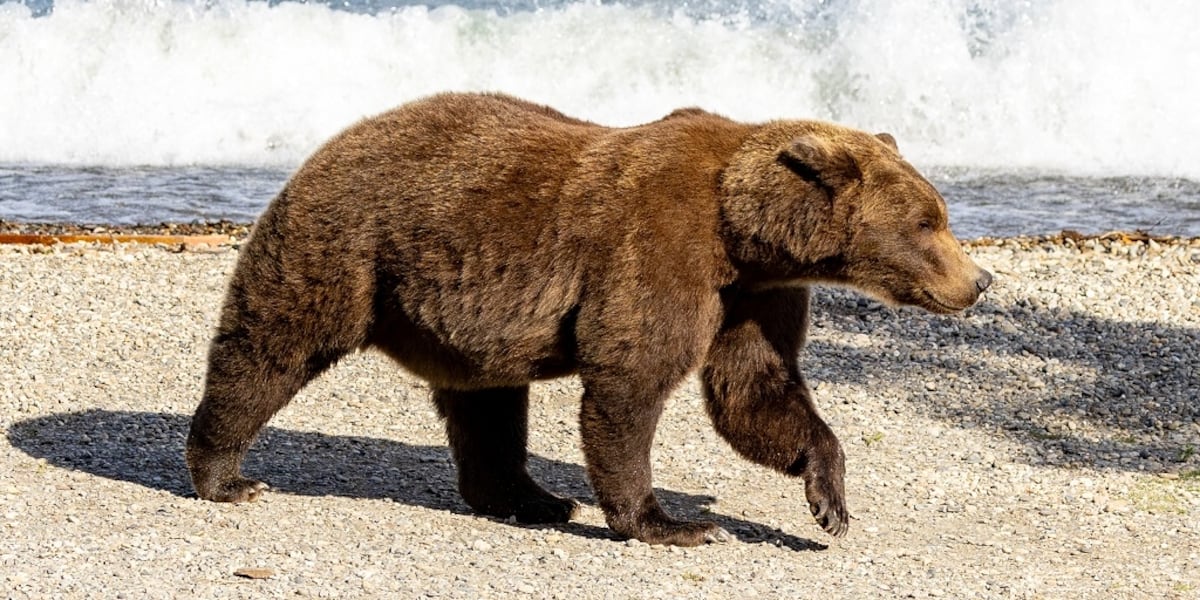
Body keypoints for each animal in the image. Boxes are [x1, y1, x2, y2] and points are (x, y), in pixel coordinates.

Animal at [186, 92, 991, 546]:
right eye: (929, 221)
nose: (979, 280)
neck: (746, 233)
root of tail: (331, 140)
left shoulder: (755, 296)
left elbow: (754, 390)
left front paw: (829, 502)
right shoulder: (663, 247)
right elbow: (630, 381)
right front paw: (675, 523)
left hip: (461, 317)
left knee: (487, 405)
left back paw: (536, 499)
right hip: (349, 244)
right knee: (270, 344)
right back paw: (225, 474)